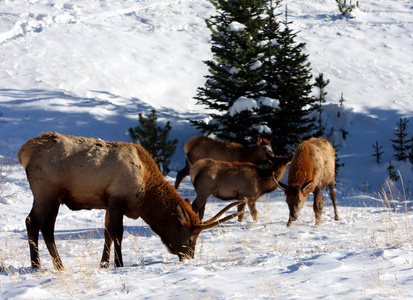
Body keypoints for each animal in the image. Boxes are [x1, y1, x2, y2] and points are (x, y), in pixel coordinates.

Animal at [18, 132, 245, 270]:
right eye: (191, 239)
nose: (189, 257)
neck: (145, 193)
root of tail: (24, 152)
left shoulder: (108, 202)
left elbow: (107, 234)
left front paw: (103, 264)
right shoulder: (117, 200)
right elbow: (117, 234)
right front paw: (119, 264)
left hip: (56, 197)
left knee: (47, 227)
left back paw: (60, 266)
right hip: (45, 191)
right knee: (32, 222)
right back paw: (36, 266)